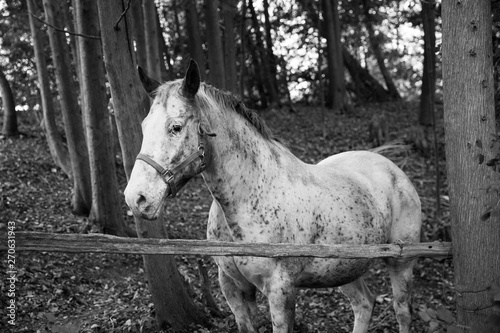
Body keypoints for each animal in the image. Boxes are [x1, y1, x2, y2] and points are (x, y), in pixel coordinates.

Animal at [125, 60, 422, 332]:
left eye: (175, 127)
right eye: (144, 125)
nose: (136, 198)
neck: (248, 200)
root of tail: (393, 169)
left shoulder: (280, 291)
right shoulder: (233, 288)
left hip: (401, 264)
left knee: (402, 313)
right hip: (346, 269)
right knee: (364, 304)